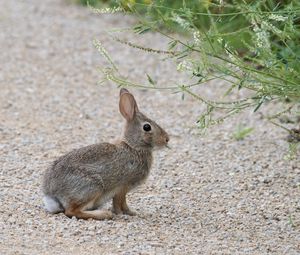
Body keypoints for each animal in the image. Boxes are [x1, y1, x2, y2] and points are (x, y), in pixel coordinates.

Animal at [42, 87, 169, 219]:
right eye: (147, 127)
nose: (167, 139)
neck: (133, 147)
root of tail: (51, 195)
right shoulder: (122, 187)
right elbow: (120, 203)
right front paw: (126, 213)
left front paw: (131, 213)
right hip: (92, 187)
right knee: (71, 211)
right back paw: (104, 214)